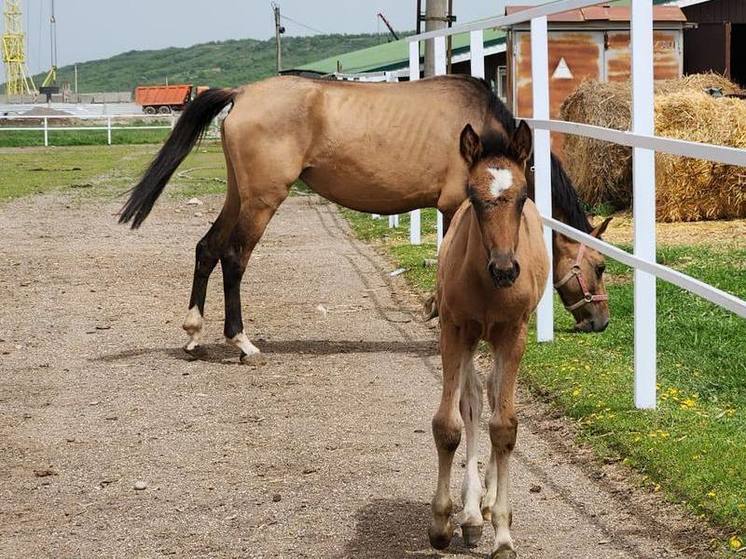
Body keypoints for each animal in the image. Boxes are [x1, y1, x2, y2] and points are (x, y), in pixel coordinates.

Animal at [120, 74, 612, 364]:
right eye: (600, 266)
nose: (601, 323)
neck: (482, 131)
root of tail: (242, 95)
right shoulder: (456, 206)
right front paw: (438, 312)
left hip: (239, 195)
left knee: (207, 248)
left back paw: (193, 334)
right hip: (261, 201)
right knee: (234, 257)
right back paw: (241, 342)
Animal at [430, 122, 548, 559]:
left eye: (523, 196)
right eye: (474, 197)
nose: (505, 269)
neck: (487, 287)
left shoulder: (513, 334)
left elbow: (505, 427)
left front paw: (503, 532)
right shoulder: (453, 330)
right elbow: (449, 424)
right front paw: (442, 521)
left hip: (499, 341)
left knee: (496, 400)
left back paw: (487, 505)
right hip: (469, 340)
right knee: (474, 402)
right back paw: (469, 514)